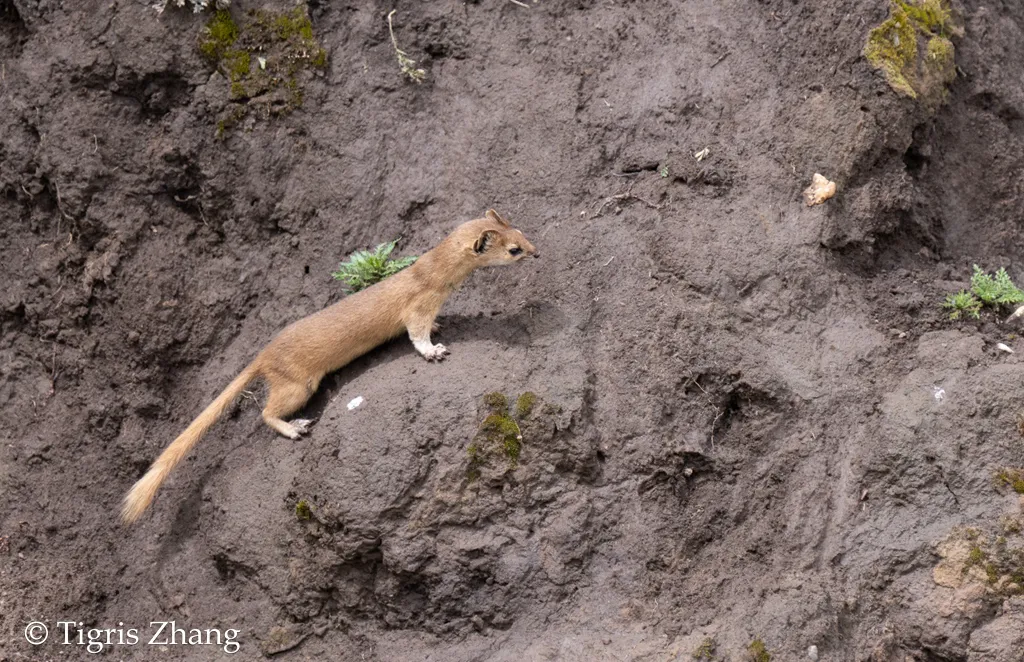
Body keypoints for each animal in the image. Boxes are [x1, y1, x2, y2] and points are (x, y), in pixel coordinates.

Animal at [119, 210, 536, 524]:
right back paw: (294, 427)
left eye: (520, 229)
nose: (537, 251)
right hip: (298, 384)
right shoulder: (417, 306)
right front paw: (433, 349)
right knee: (266, 412)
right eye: (514, 249)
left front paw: (438, 328)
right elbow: (415, 334)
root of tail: (263, 354)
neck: (433, 276)